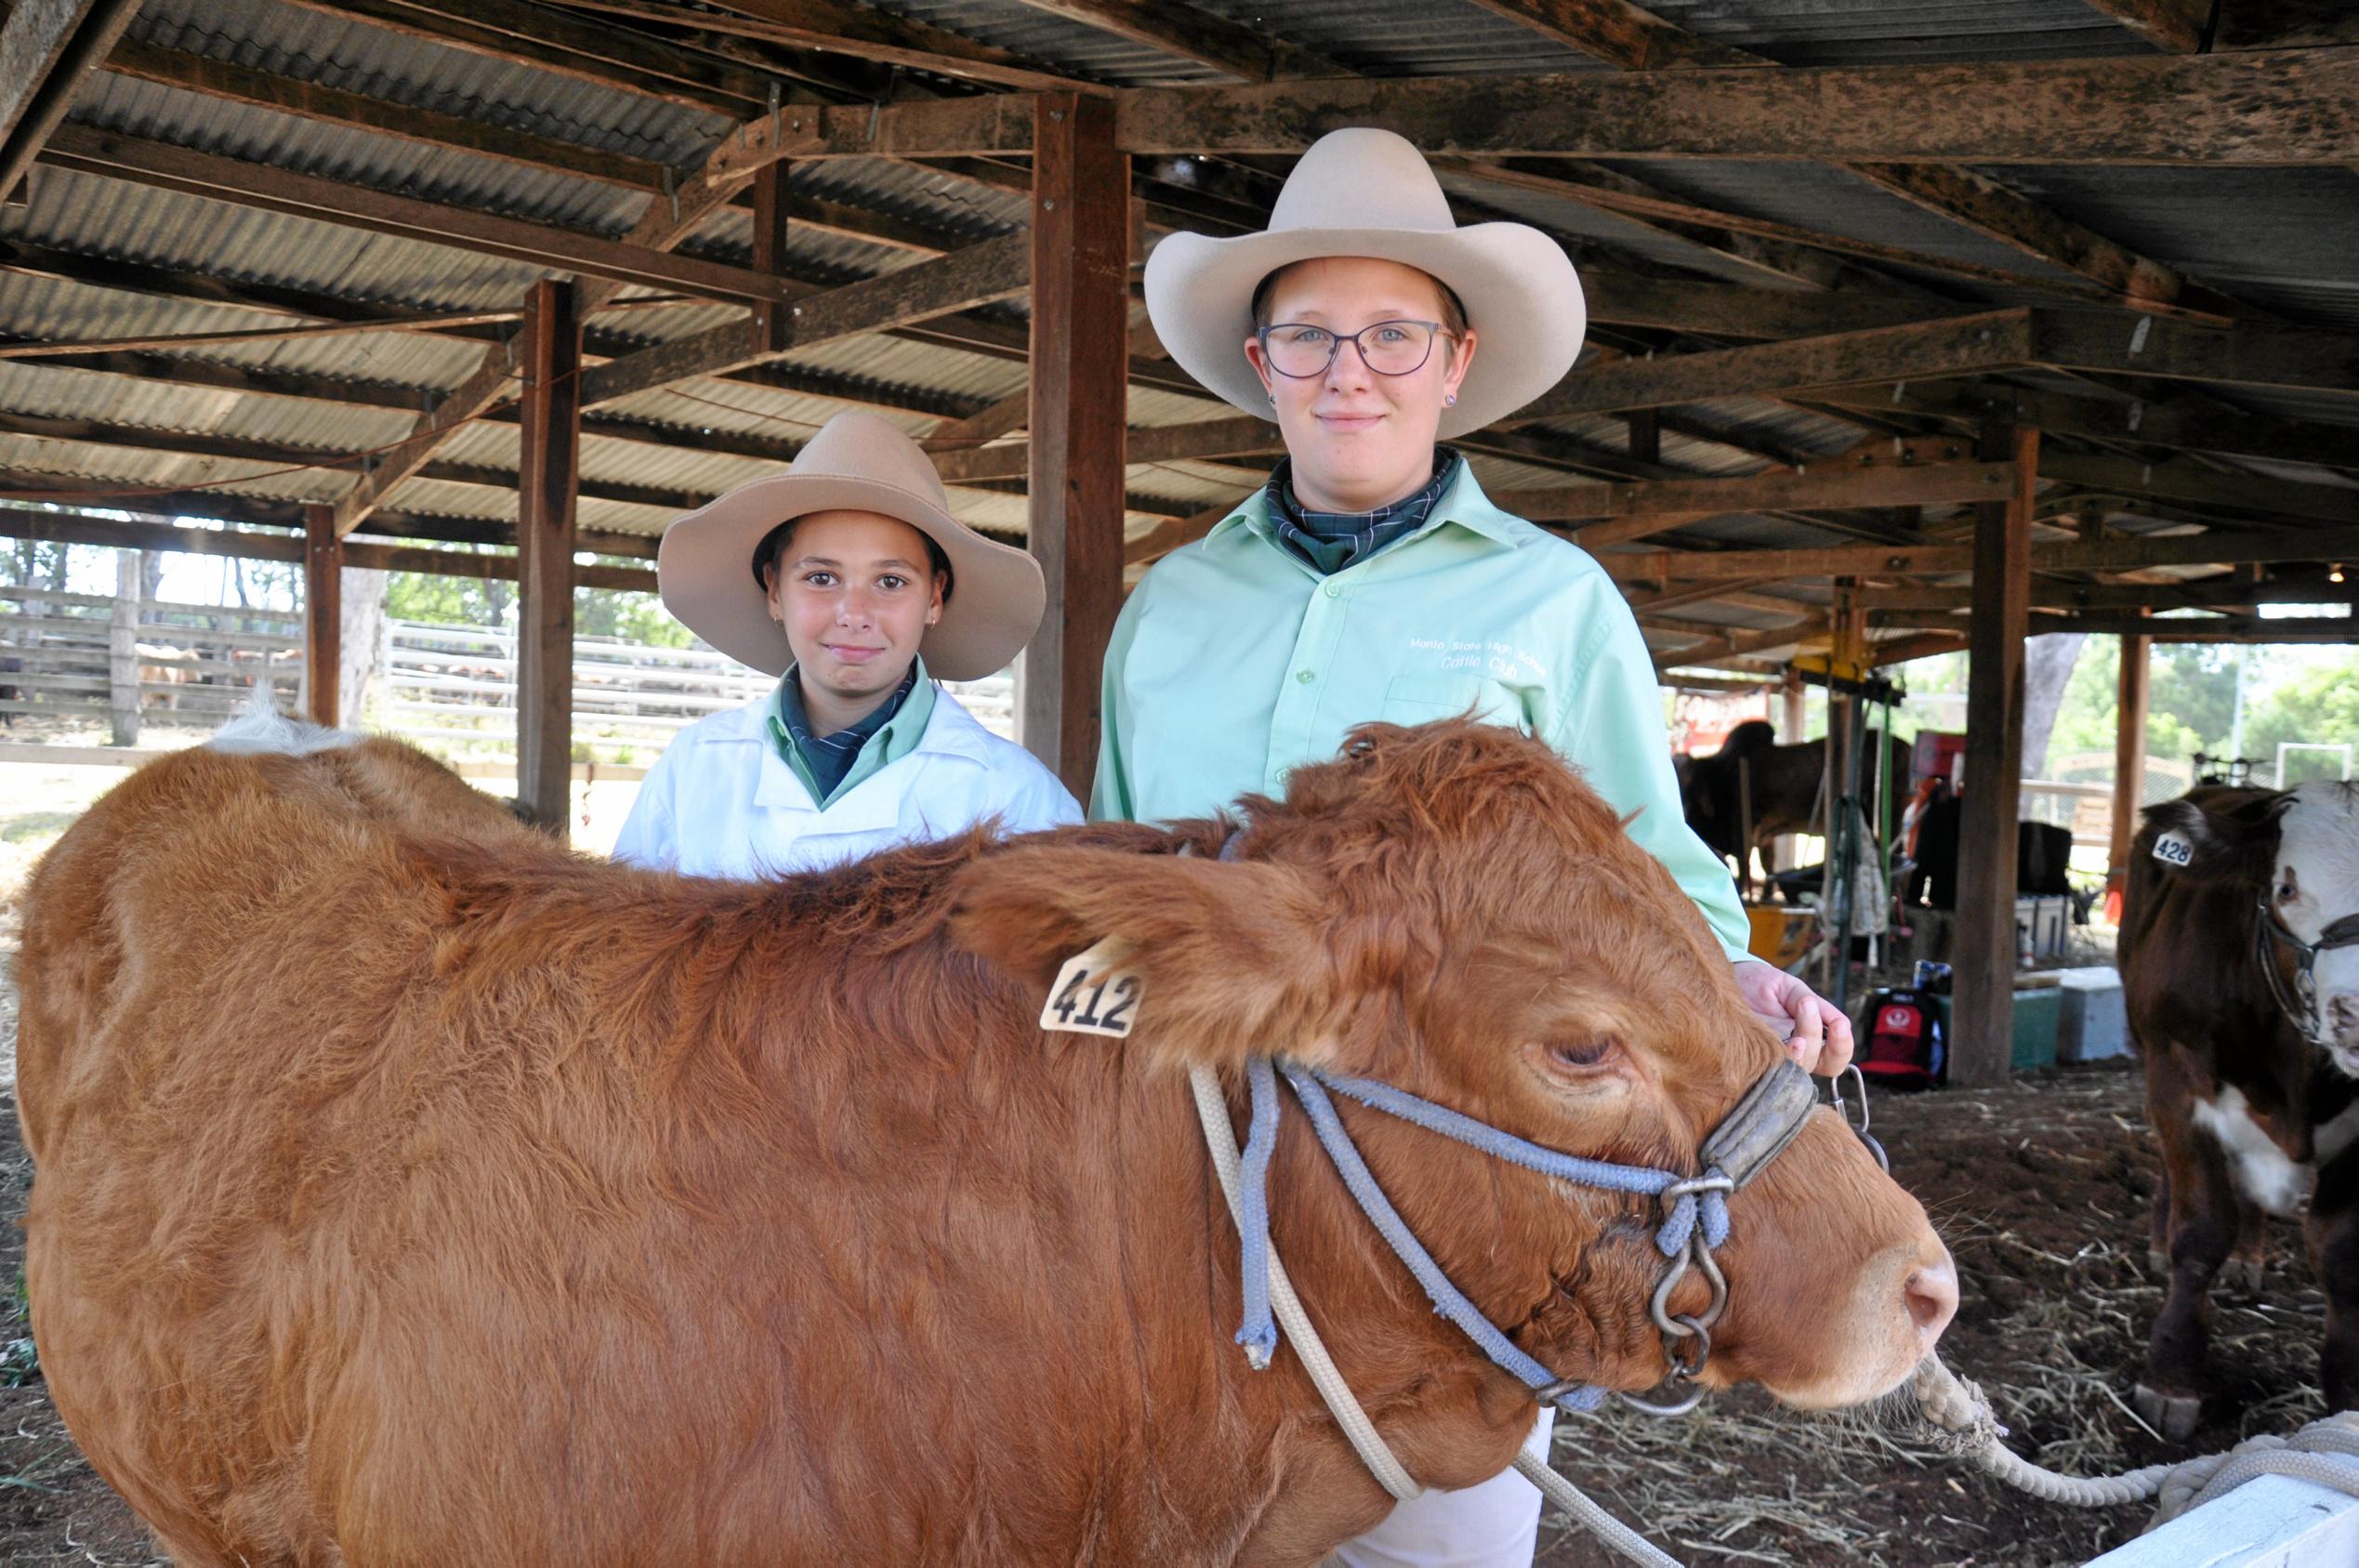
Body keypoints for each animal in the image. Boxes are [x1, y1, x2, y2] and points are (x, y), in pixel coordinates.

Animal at [2123, 783, 2359, 1443]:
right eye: (2286, 889)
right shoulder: (2176, 1080)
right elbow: (2202, 1231)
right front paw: (2171, 1377)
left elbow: (2338, 1251)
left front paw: (2348, 1394)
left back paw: (2249, 1257)